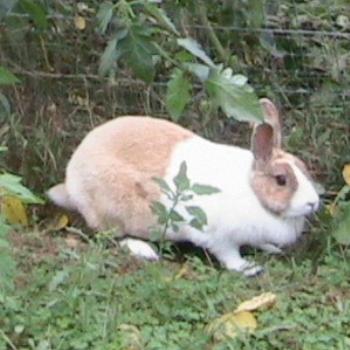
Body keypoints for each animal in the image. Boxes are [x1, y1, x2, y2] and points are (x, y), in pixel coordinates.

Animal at [47, 98, 322, 276]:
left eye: (303, 168)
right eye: (281, 180)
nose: (313, 203)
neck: (254, 195)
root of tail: (71, 181)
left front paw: (270, 248)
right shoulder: (218, 237)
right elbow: (229, 255)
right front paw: (248, 268)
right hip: (113, 210)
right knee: (108, 236)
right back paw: (144, 250)